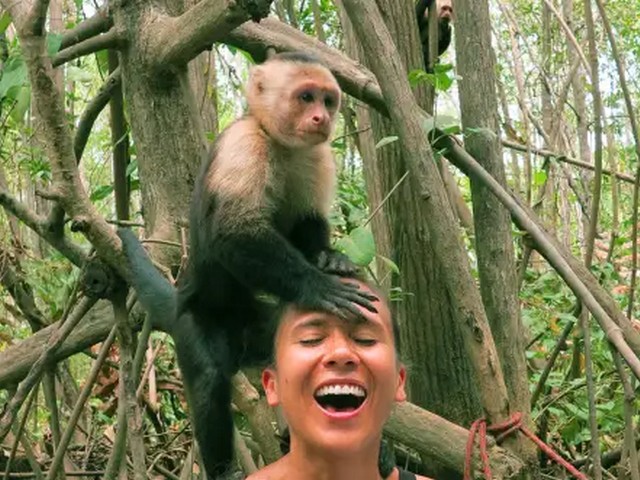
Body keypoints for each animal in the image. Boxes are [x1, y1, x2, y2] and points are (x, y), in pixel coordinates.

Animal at [119, 52, 378, 479]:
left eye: (328, 100)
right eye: (305, 97)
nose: (321, 118)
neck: (281, 143)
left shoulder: (316, 155)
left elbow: (307, 221)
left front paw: (328, 257)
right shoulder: (243, 144)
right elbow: (233, 233)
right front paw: (316, 283)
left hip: (263, 327)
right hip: (197, 322)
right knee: (210, 378)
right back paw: (224, 468)